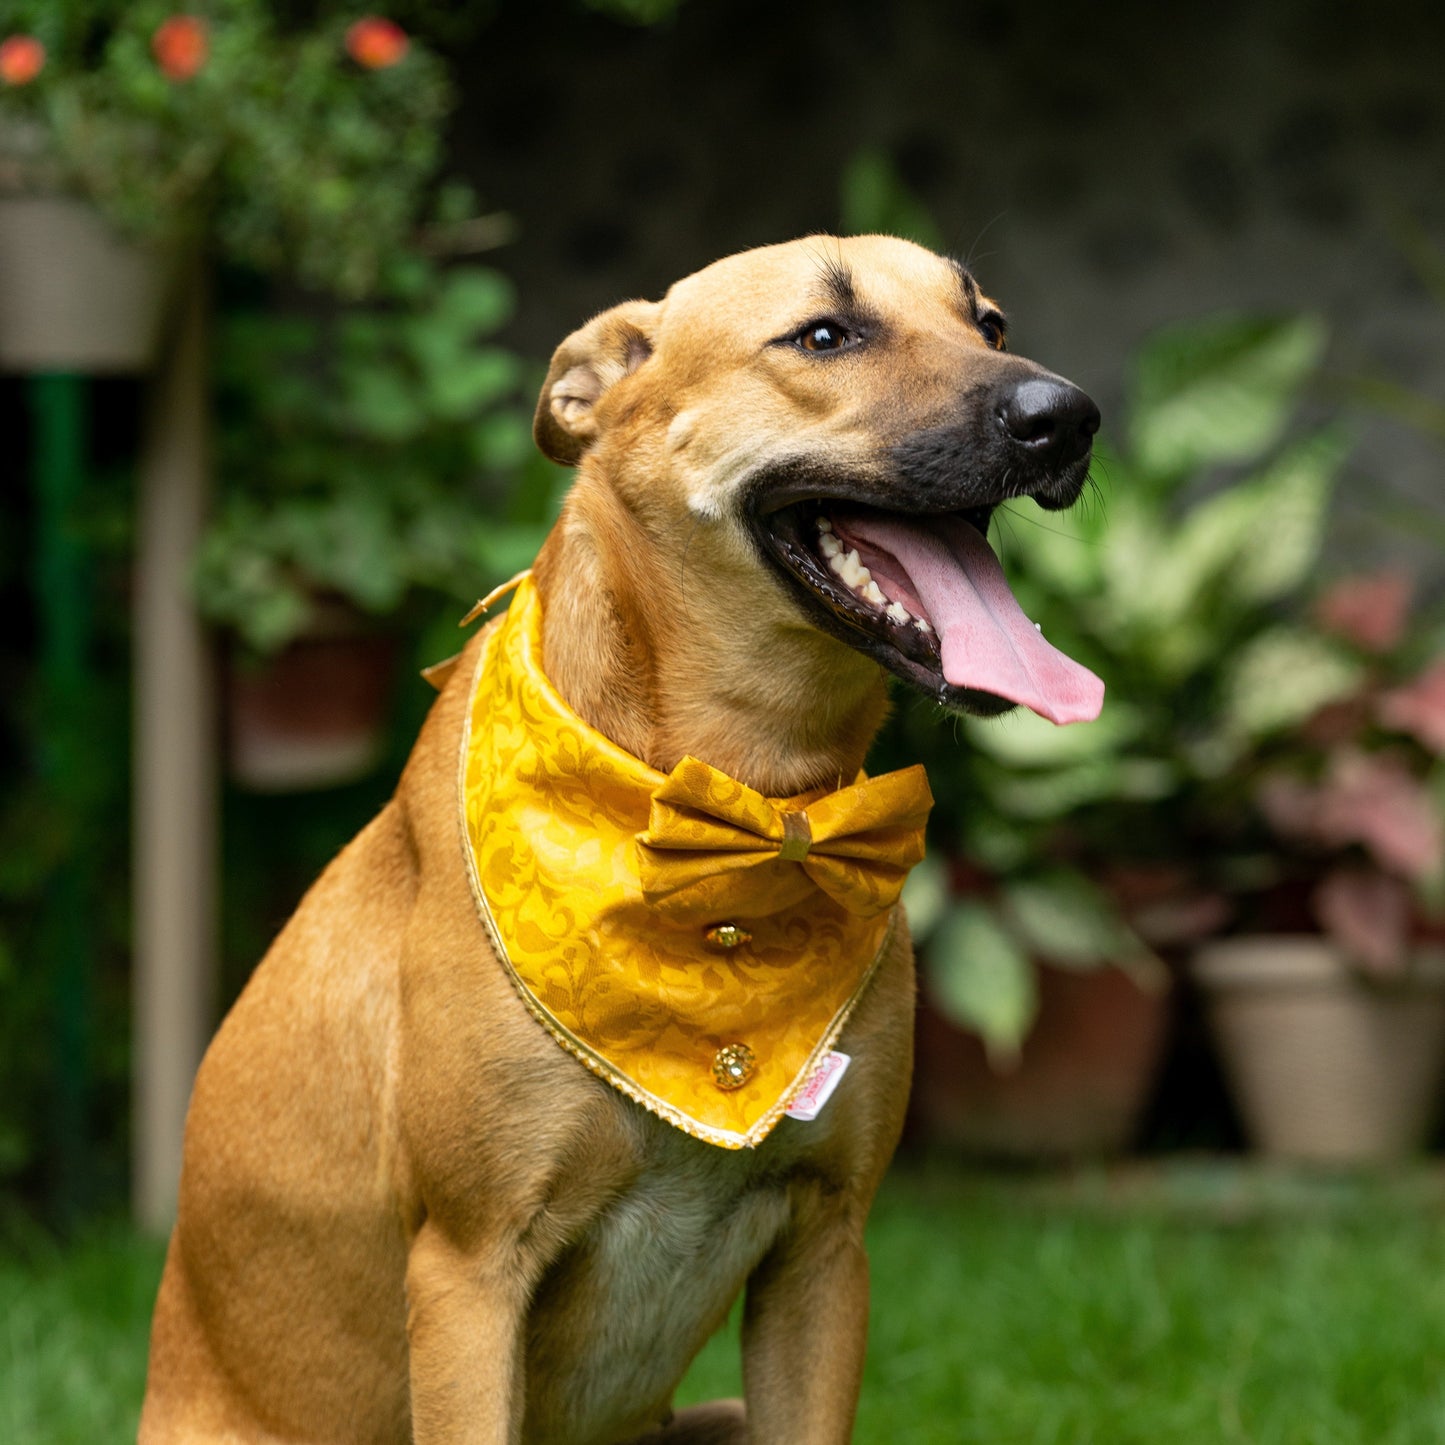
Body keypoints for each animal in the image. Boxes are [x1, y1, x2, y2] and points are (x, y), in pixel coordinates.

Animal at [140, 231, 1098, 1439]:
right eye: (824, 335)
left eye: (989, 322)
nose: (1067, 415)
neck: (744, 810)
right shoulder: (468, 1267)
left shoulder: (825, 1250)